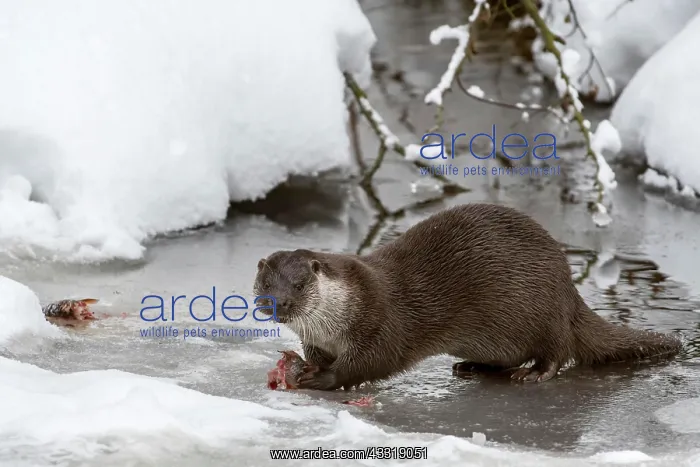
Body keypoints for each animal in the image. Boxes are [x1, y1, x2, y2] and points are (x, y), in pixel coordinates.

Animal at [252, 203, 683, 390]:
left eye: (299, 285)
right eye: (266, 283)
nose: (277, 303)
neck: (337, 323)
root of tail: (569, 288)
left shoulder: (382, 320)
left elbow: (372, 362)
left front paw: (323, 377)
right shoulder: (318, 340)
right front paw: (305, 367)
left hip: (546, 311)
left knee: (557, 351)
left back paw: (533, 374)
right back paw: (472, 366)